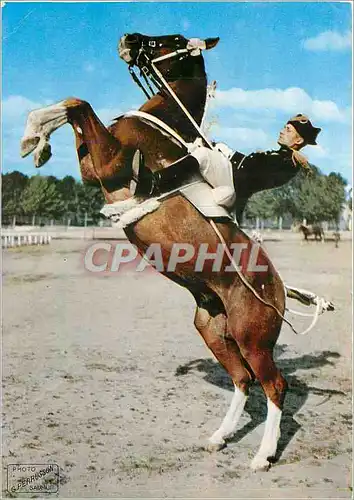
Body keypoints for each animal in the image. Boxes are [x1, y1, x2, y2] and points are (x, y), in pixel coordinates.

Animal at [20, 32, 290, 472]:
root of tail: (279, 289)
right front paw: (37, 140)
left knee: (275, 386)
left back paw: (263, 455)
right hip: (214, 330)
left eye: (172, 40)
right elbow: (73, 109)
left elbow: (80, 104)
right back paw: (220, 437)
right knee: (243, 380)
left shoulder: (112, 164)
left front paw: (33, 139)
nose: (128, 39)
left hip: (253, 340)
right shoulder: (94, 170)